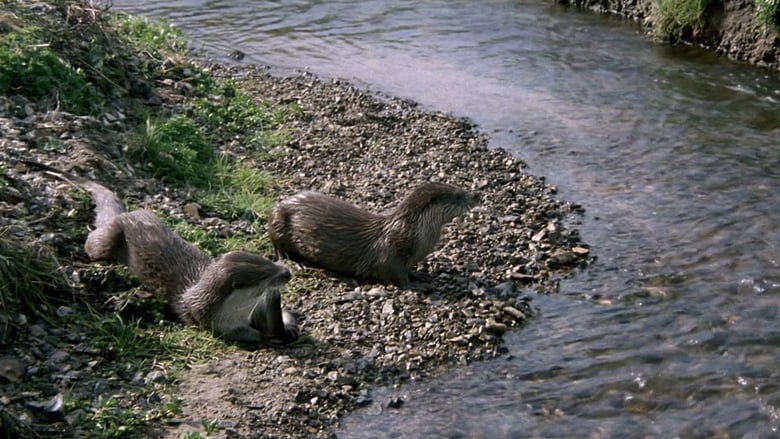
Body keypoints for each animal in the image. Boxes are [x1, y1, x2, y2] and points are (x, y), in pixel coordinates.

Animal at [25, 162, 298, 348]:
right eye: (264, 275)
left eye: (268, 260)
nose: (286, 272)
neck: (237, 310)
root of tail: (124, 215)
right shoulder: (214, 322)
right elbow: (240, 335)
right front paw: (266, 337)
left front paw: (288, 326)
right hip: (103, 243)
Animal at [266, 182, 482, 288]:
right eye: (458, 196)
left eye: (460, 188)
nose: (477, 194)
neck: (410, 231)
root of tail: (279, 204)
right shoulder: (390, 254)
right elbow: (396, 277)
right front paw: (419, 286)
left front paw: (420, 275)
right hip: (278, 224)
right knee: (279, 249)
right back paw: (297, 263)